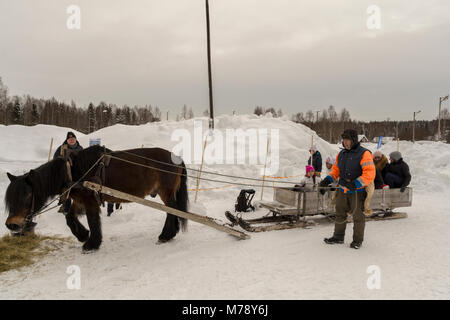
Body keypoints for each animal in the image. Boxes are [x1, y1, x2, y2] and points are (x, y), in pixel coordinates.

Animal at [4, 145, 188, 252]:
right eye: (10, 198)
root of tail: (176, 158)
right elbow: (70, 217)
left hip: (166, 192)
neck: (73, 171)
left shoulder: (90, 200)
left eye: (27, 195)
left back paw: (166, 235)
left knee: (172, 211)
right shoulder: (80, 200)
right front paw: (83, 235)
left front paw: (92, 244)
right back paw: (171, 233)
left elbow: (93, 220)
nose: (11, 224)